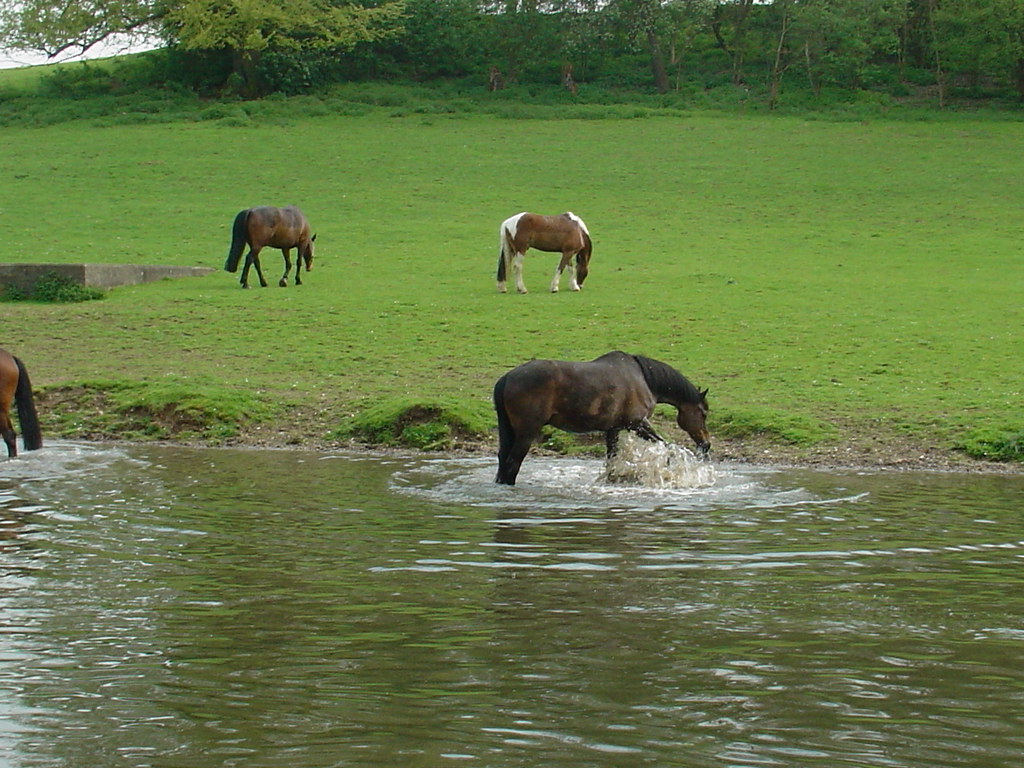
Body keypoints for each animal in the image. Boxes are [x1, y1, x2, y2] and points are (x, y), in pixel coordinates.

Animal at [493, 351, 709, 485]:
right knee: (512, 464)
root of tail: (507, 377)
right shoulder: (636, 424)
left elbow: (612, 457)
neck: (642, 378)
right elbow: (666, 446)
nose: (706, 444)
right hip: (527, 433)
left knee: (503, 461)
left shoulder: (614, 428)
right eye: (703, 413)